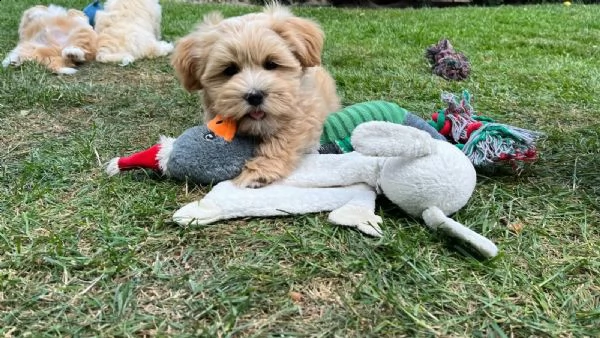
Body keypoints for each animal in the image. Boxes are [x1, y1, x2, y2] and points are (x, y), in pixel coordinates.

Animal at [171, 4, 340, 187]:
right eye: (229, 70)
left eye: (271, 64)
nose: (255, 96)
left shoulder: (304, 112)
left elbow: (284, 138)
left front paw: (259, 171)